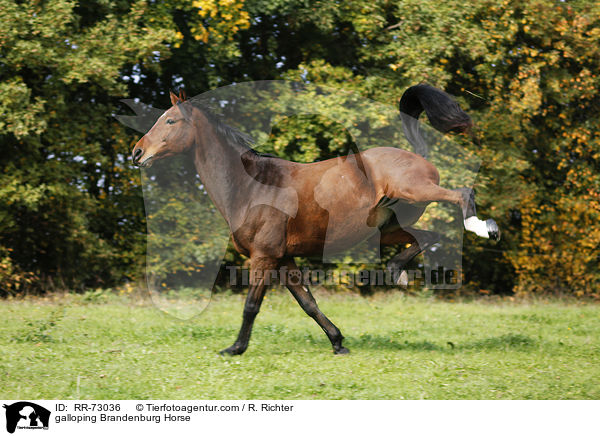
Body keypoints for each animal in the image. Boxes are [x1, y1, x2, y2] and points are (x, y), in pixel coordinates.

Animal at [132, 84, 502, 354]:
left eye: (170, 121)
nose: (137, 152)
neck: (251, 186)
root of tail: (416, 156)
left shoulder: (264, 257)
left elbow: (251, 305)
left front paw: (235, 348)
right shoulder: (284, 258)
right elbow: (308, 303)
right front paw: (338, 343)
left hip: (416, 190)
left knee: (460, 195)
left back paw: (484, 228)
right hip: (389, 226)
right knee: (425, 237)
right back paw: (397, 272)